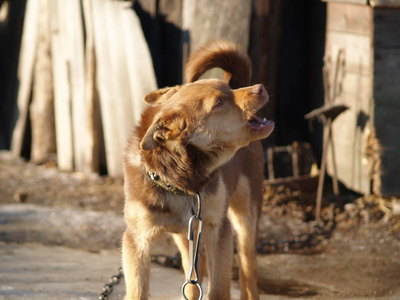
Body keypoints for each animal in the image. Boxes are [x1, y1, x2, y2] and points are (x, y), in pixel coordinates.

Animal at [122, 40, 276, 300]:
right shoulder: (136, 239)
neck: (179, 181)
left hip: (245, 218)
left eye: (228, 90)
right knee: (195, 274)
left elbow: (220, 288)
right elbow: (138, 290)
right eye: (219, 102)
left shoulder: (218, 228)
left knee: (248, 272)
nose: (261, 88)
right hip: (187, 235)